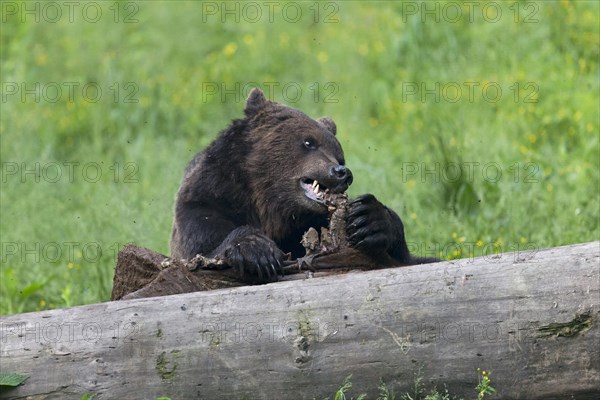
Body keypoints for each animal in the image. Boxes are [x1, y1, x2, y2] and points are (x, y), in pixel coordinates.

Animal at [171, 89, 434, 282]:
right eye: (309, 142)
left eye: (339, 155)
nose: (342, 172)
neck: (267, 205)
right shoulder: (206, 201)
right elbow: (204, 246)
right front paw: (258, 251)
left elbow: (406, 257)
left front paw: (368, 218)